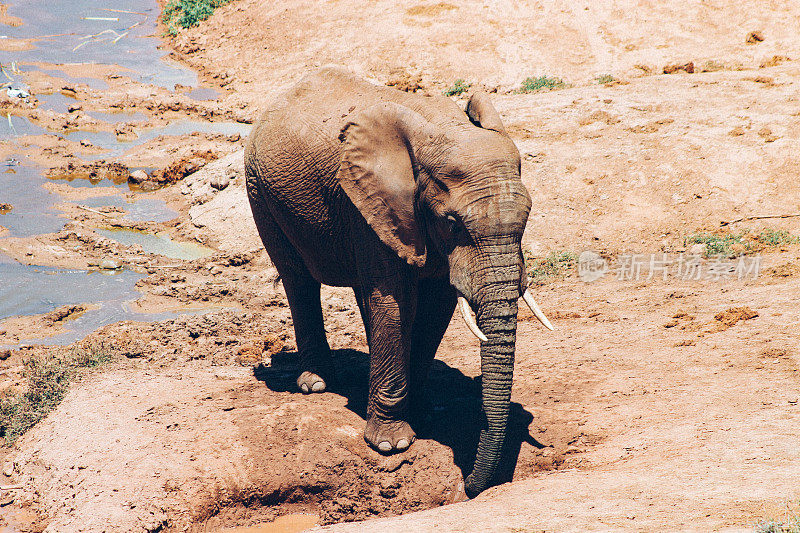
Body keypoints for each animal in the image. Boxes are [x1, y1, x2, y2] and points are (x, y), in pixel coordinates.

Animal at [244, 66, 552, 494]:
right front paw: (392, 445)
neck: (442, 129)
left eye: (528, 214)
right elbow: (394, 302)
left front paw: (420, 416)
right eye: (453, 223)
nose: (469, 485)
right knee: (298, 280)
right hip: (259, 188)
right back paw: (316, 384)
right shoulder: (368, 202)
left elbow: (435, 307)